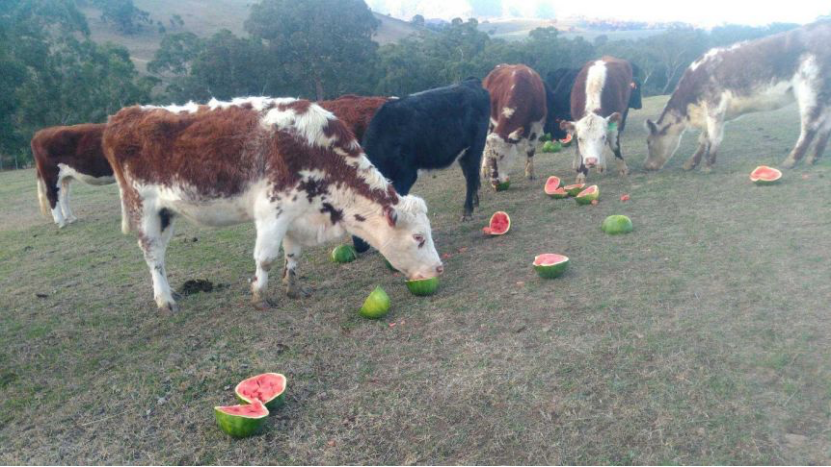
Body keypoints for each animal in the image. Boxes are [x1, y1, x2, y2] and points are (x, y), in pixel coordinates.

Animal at [104, 97, 446, 312]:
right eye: (418, 237)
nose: (439, 267)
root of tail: (123, 116)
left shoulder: (297, 214)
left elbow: (292, 254)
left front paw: (293, 288)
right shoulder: (273, 211)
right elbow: (265, 258)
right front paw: (260, 296)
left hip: (165, 212)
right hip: (144, 209)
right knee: (153, 255)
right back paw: (165, 300)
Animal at [352, 78, 494, 252]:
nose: (358, 247)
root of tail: (471, 82)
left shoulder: (406, 174)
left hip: (475, 147)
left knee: (471, 176)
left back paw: (467, 211)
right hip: (464, 153)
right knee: (471, 176)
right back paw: (474, 203)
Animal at [648, 22, 831, 172]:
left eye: (648, 143)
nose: (646, 166)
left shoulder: (715, 105)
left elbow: (713, 137)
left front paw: (708, 166)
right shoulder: (712, 113)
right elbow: (703, 138)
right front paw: (690, 164)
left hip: (809, 89)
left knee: (810, 125)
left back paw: (790, 161)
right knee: (825, 126)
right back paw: (812, 158)